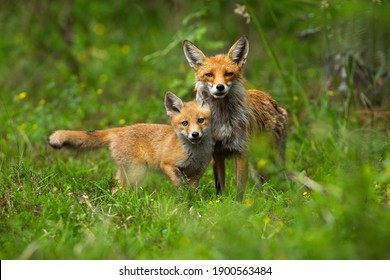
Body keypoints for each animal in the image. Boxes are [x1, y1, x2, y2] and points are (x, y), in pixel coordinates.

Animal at [49, 92, 213, 188]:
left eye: (200, 120)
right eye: (185, 123)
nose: (195, 134)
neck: (195, 154)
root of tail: (120, 129)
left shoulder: (197, 173)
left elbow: (192, 191)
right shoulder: (167, 164)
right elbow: (179, 183)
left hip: (126, 171)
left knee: (114, 187)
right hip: (136, 172)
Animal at [182, 37, 286, 200]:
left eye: (228, 74)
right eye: (209, 75)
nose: (220, 87)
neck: (222, 121)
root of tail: (269, 97)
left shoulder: (241, 151)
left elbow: (240, 189)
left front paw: (239, 205)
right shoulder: (217, 154)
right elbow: (220, 188)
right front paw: (221, 203)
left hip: (270, 157)